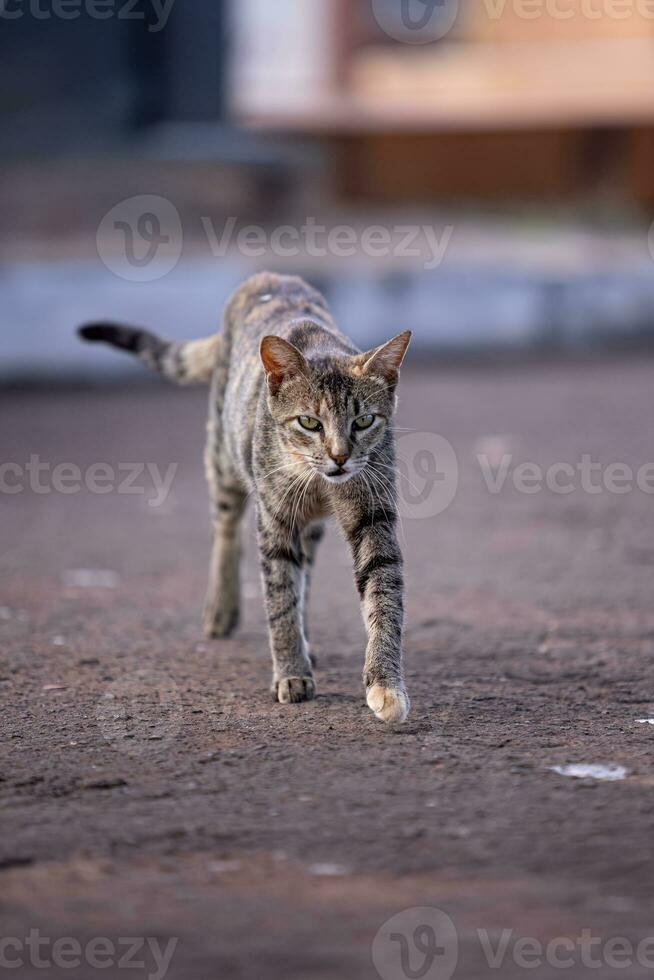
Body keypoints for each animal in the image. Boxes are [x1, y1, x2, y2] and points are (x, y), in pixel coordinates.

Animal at [79, 272, 412, 724]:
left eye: (363, 421)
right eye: (309, 422)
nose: (340, 456)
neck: (317, 480)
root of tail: (266, 277)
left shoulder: (371, 511)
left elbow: (382, 592)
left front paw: (385, 685)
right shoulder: (274, 517)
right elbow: (279, 597)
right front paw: (291, 672)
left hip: (310, 523)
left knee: (306, 567)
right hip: (222, 454)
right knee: (225, 526)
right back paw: (222, 609)